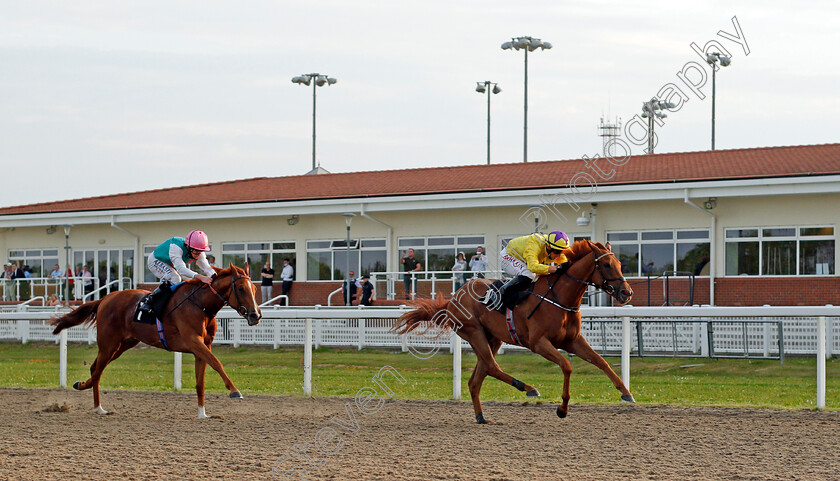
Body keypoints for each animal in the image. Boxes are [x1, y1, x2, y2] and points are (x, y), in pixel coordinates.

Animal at [50, 264, 260, 418]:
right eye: (241, 288)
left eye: (255, 288)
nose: (256, 315)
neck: (201, 305)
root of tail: (105, 299)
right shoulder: (194, 342)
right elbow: (217, 363)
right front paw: (234, 391)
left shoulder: (202, 347)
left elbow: (201, 381)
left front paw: (202, 414)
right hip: (109, 344)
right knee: (97, 371)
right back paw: (95, 404)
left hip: (123, 345)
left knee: (95, 369)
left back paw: (88, 394)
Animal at [394, 238, 636, 422]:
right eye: (607, 265)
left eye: (620, 264)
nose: (627, 292)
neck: (559, 297)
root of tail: (453, 299)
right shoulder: (538, 343)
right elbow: (567, 366)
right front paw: (562, 408)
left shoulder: (573, 340)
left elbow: (601, 361)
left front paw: (626, 393)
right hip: (474, 332)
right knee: (492, 366)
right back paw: (527, 387)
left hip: (493, 338)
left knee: (477, 378)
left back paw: (481, 417)